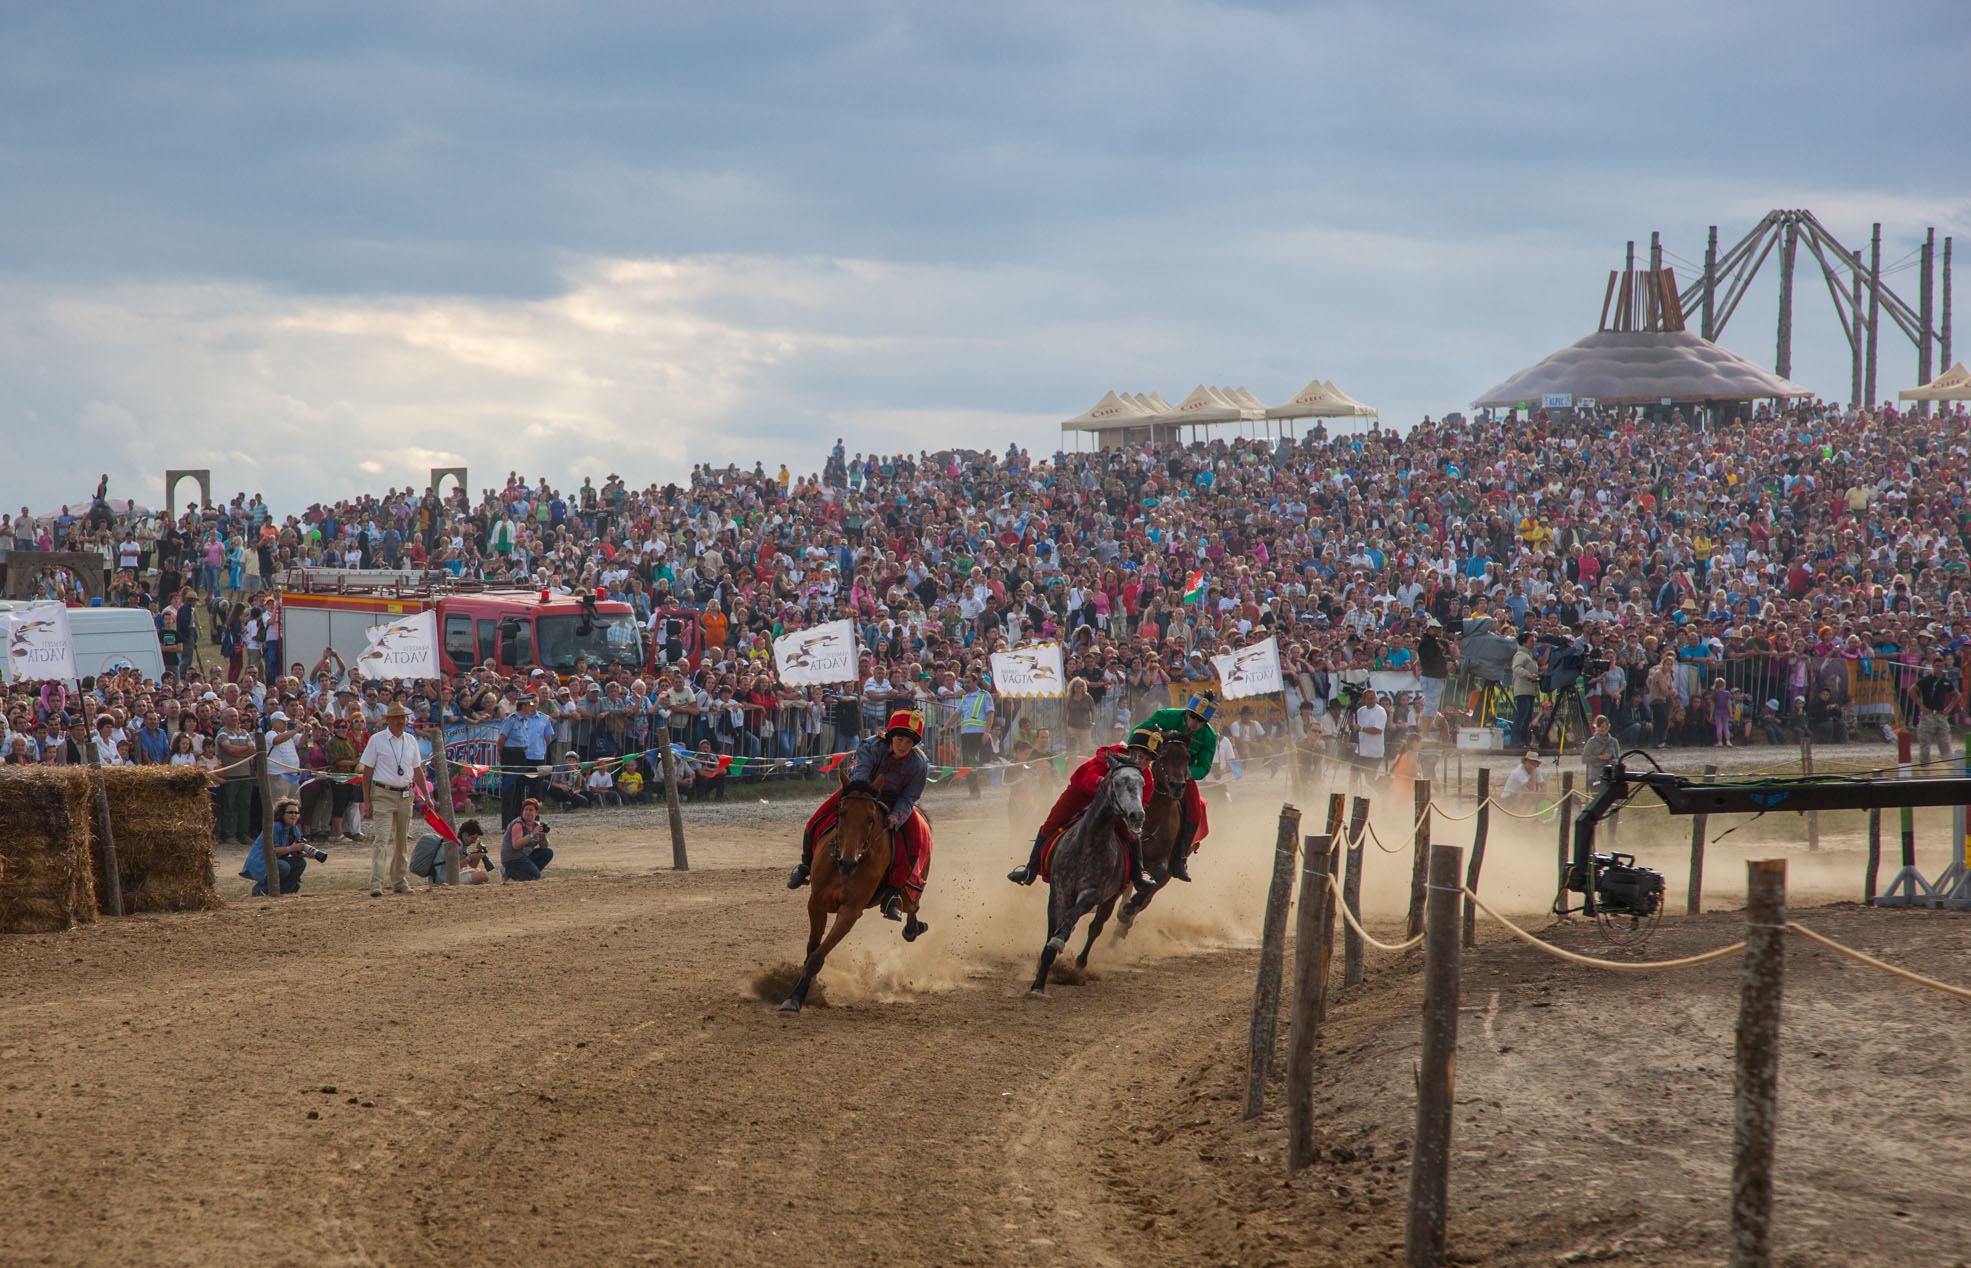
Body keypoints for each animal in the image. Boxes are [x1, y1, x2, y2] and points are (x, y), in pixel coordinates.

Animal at [776, 769, 922, 1017]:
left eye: (871, 819)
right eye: (841, 813)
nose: (847, 861)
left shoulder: (850, 912)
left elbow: (817, 957)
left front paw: (795, 998)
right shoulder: (816, 903)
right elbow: (812, 950)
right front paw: (798, 990)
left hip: (908, 892)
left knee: (913, 905)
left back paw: (912, 928)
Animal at [1024, 749, 1151, 997]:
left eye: (1141, 783)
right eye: (1118, 782)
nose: (1137, 815)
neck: (1088, 843)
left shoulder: (1092, 893)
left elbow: (1073, 919)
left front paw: (1060, 941)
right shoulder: (1059, 893)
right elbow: (1052, 932)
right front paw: (1038, 984)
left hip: (1111, 898)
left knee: (1095, 928)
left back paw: (1081, 961)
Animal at [1119, 733, 1190, 930]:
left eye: (1187, 758)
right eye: (1163, 757)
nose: (1177, 786)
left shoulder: (1162, 864)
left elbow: (1152, 884)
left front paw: (1128, 910)